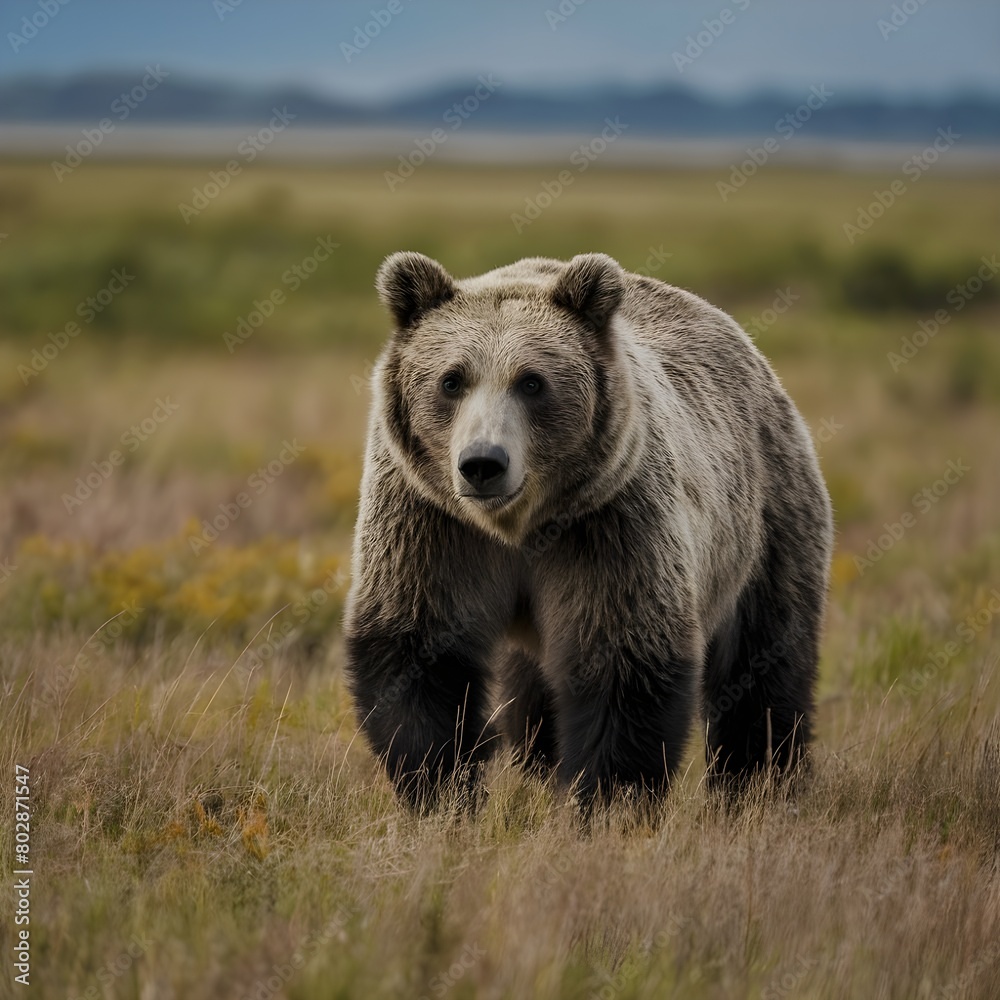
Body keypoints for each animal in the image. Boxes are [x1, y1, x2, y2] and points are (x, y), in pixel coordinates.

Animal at [344, 251, 833, 808]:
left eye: (531, 381)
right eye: (452, 380)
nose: (483, 463)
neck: (518, 528)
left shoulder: (609, 522)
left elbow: (622, 662)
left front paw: (607, 798)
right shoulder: (431, 523)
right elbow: (417, 648)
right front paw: (442, 789)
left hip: (764, 519)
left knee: (765, 661)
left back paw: (760, 780)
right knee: (532, 690)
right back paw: (541, 762)